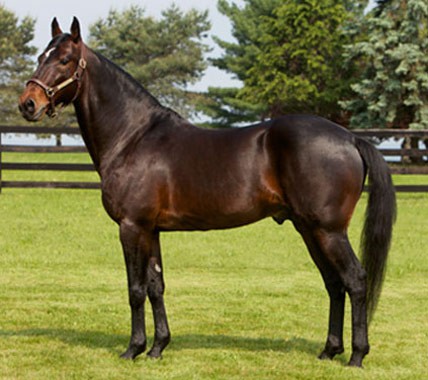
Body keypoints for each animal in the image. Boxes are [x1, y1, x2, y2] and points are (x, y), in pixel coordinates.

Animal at [19, 17, 394, 368]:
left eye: (65, 60)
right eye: (40, 57)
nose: (27, 104)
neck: (133, 137)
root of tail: (350, 138)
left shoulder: (132, 227)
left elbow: (135, 289)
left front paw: (133, 349)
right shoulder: (151, 230)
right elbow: (156, 286)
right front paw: (158, 347)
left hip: (328, 230)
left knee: (355, 280)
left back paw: (356, 356)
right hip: (309, 229)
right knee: (334, 283)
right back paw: (329, 351)